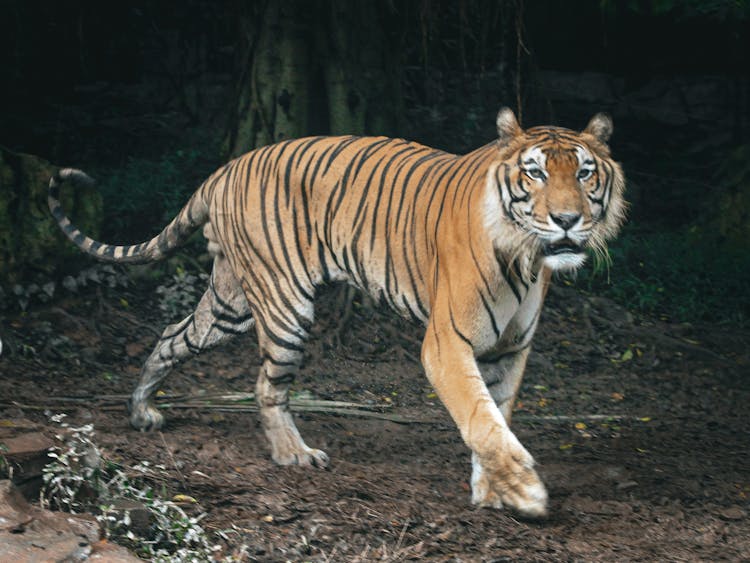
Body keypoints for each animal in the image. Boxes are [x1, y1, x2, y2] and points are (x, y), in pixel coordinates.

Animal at [50, 108, 628, 516]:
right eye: (534, 173)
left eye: (585, 173)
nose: (568, 219)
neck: (527, 257)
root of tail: (226, 168)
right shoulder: (447, 344)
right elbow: (481, 419)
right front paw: (526, 492)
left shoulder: (510, 349)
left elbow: (496, 417)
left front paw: (494, 489)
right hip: (284, 305)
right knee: (266, 385)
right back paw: (294, 454)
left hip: (229, 304)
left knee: (173, 335)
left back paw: (141, 410)